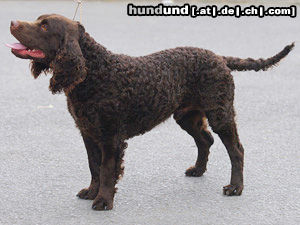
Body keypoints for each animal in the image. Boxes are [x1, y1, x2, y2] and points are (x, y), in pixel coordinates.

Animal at [8, 14, 294, 211]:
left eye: (44, 26)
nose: (12, 22)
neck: (94, 73)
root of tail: (219, 58)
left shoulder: (111, 136)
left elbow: (107, 169)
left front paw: (103, 200)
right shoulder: (88, 132)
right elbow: (93, 166)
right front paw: (91, 192)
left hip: (220, 113)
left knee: (236, 150)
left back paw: (235, 187)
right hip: (186, 115)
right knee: (205, 140)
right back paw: (198, 170)